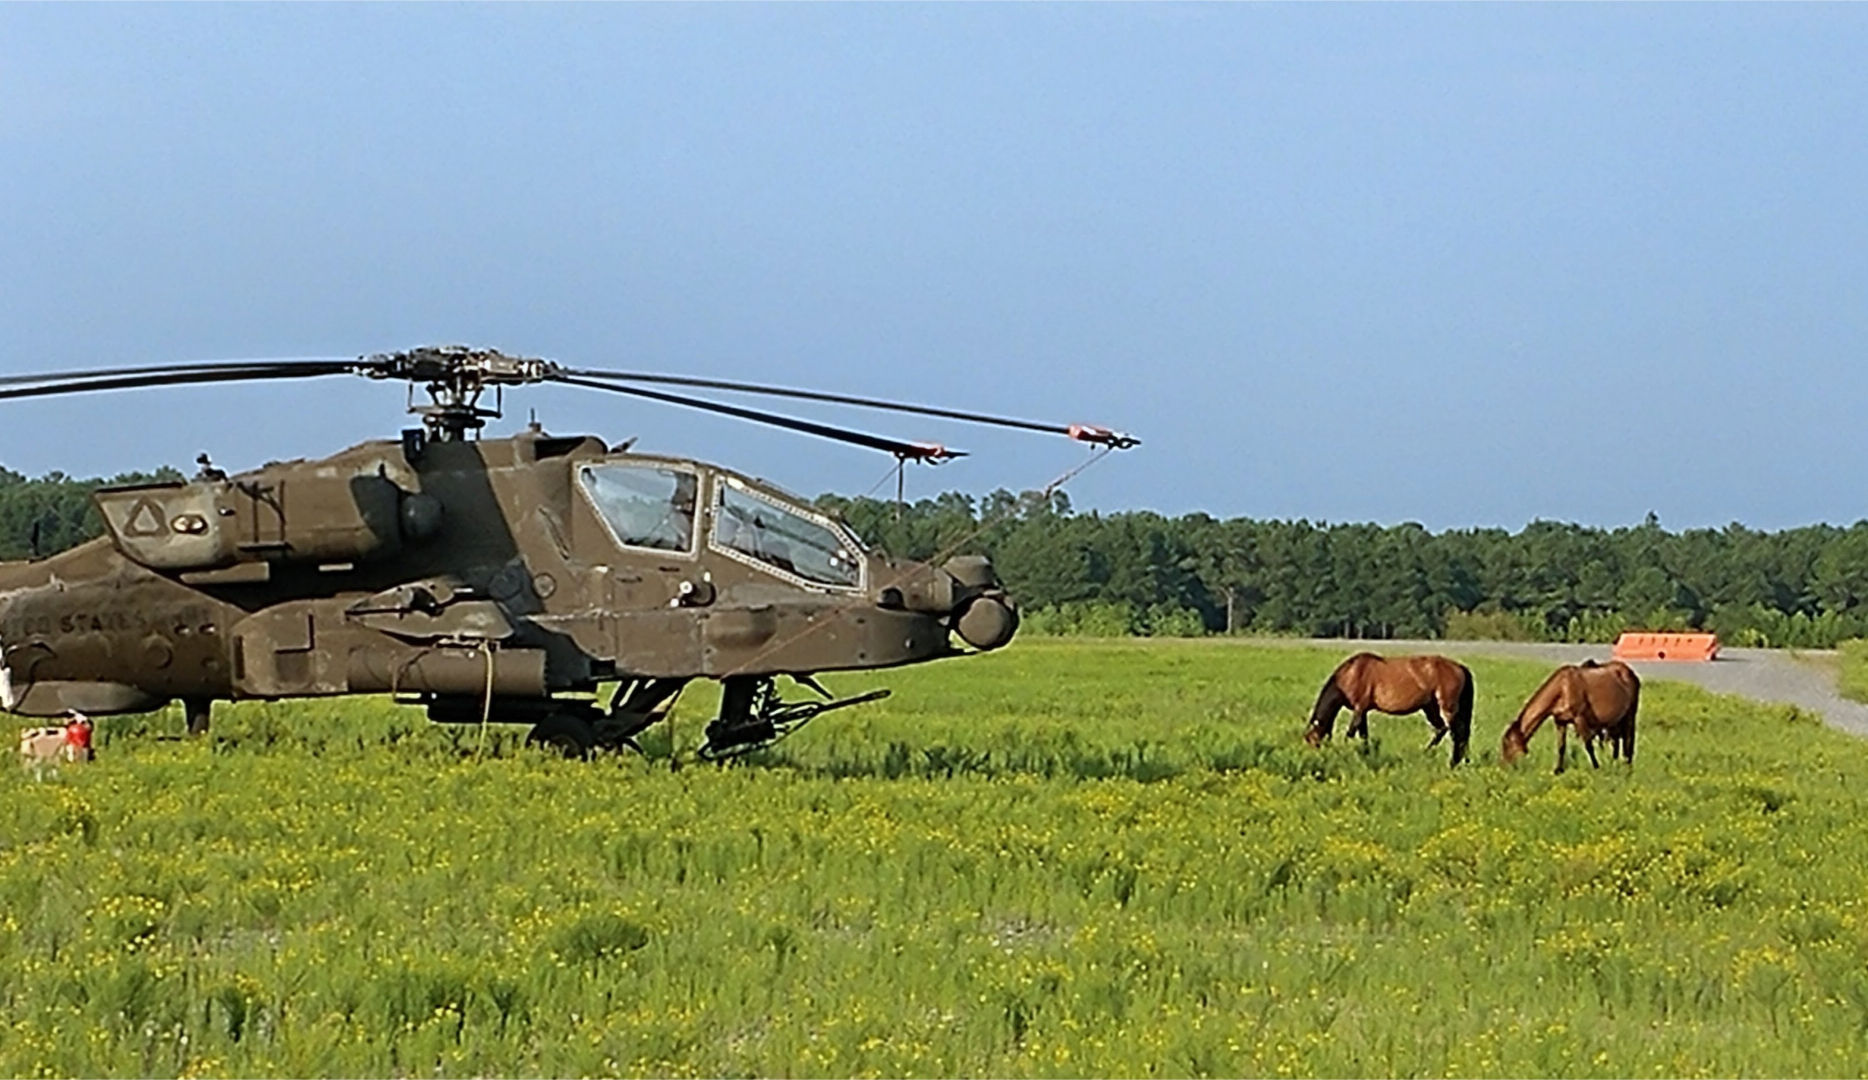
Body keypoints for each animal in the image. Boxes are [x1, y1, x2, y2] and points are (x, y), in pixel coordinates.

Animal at [1302, 652, 1474, 767]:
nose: (1314, 759)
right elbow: (1363, 735)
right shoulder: (1363, 711)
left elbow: (1350, 734)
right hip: (1430, 707)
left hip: (1447, 707)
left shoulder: (1359, 708)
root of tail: (1460, 667)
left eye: (1314, 741)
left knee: (1457, 732)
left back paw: (1453, 763)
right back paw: (1430, 755)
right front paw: (1366, 756)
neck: (1351, 674)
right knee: (1443, 729)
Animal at [1499, 659, 1639, 773]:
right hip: (1616, 720)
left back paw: (1628, 766)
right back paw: (1616, 763)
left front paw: (1596, 767)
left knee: (1628, 739)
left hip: (1630, 714)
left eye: (1507, 744)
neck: (1563, 688)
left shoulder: (1579, 718)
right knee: (1617, 740)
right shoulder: (1560, 722)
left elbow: (1588, 746)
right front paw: (1558, 770)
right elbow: (1561, 746)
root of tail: (1630, 672)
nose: (1504, 767)